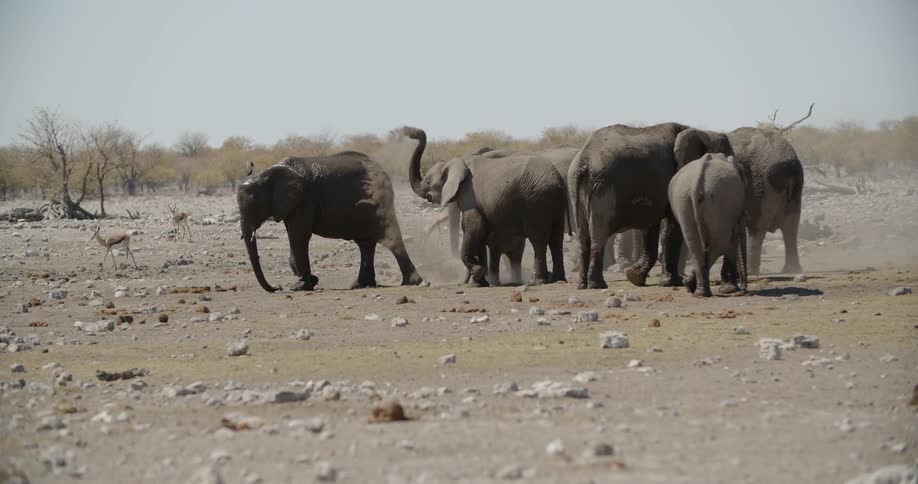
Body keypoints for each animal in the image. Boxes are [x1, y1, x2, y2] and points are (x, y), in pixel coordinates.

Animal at [237, 143, 424, 292]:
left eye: (254, 207)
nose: (277, 288)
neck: (267, 173)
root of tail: (381, 170)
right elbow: (294, 235)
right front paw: (311, 281)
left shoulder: (304, 200)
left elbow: (299, 236)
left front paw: (300, 286)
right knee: (365, 243)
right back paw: (361, 285)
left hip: (379, 202)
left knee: (389, 238)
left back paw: (411, 282)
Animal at [406, 128, 568, 286]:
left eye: (428, 181)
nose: (412, 131)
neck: (458, 162)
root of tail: (555, 180)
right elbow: (481, 232)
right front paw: (479, 282)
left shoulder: (470, 195)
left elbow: (474, 227)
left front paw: (477, 273)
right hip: (557, 201)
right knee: (556, 238)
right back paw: (558, 279)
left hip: (535, 201)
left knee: (538, 239)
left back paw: (537, 282)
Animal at [568, 123, 733, 289]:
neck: (704, 132)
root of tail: (583, 159)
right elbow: (671, 228)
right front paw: (672, 282)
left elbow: (650, 227)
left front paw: (634, 277)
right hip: (603, 185)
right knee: (599, 234)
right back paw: (598, 285)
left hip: (578, 188)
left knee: (584, 237)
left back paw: (582, 285)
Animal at [668, 153, 748, 297]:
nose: (744, 289)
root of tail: (696, 183)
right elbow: (732, 239)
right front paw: (730, 290)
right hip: (719, 201)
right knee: (722, 243)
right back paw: (700, 289)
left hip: (682, 200)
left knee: (694, 244)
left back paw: (695, 289)